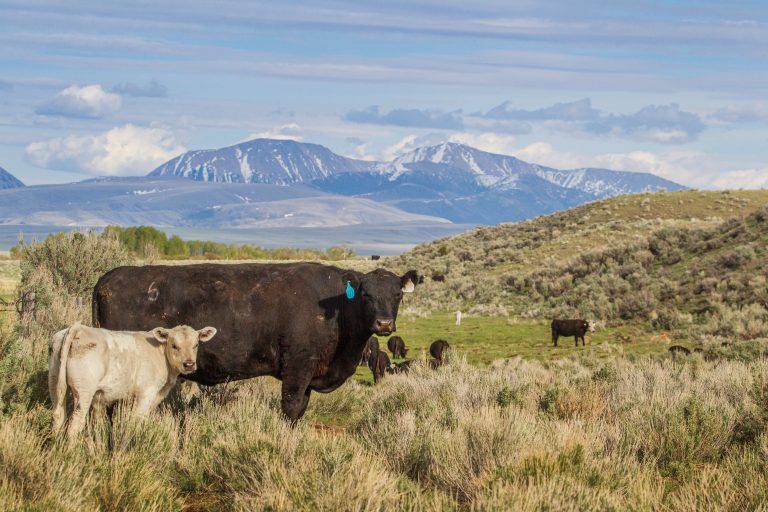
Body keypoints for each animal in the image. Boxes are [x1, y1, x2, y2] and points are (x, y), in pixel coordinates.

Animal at [94, 262, 426, 422]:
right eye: (366, 294)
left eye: (397, 294)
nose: (384, 323)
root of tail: (109, 277)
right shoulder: (297, 368)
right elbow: (290, 408)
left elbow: (300, 410)